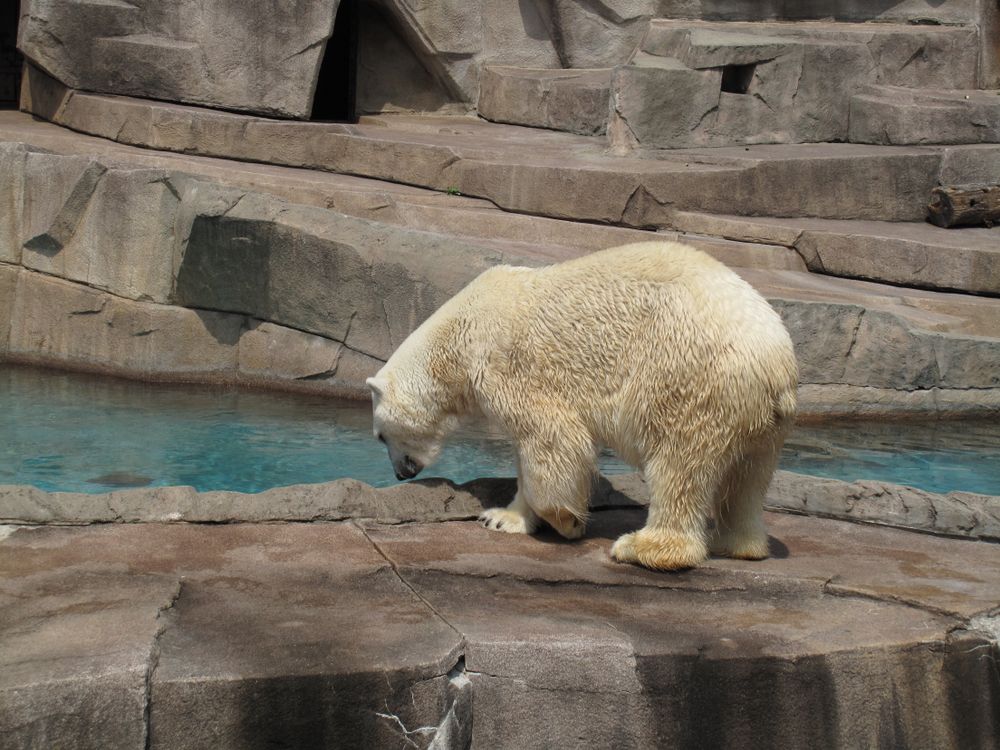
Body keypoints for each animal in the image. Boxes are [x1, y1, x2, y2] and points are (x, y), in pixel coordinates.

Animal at [366, 240, 798, 570]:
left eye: (380, 436)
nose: (401, 474)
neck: (460, 333)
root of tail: (775, 359)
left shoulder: (508, 366)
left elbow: (553, 437)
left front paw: (567, 521)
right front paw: (501, 518)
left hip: (688, 373)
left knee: (678, 462)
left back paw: (642, 547)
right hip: (760, 417)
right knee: (747, 476)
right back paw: (739, 543)